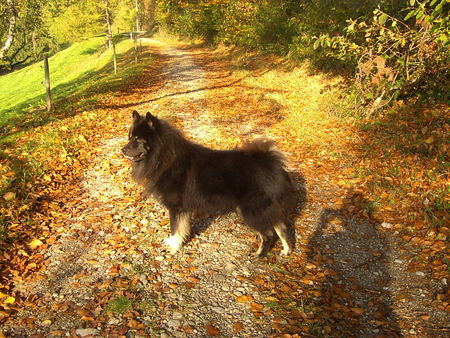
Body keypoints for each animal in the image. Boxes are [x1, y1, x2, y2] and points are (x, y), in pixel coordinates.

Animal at [122, 111, 296, 256]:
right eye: (130, 137)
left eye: (137, 139)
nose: (123, 150)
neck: (163, 158)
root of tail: (271, 162)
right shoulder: (183, 209)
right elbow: (181, 228)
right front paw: (174, 242)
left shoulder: (176, 207)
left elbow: (175, 228)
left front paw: (173, 247)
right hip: (266, 209)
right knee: (282, 227)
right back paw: (286, 250)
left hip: (252, 210)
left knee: (268, 234)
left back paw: (259, 254)